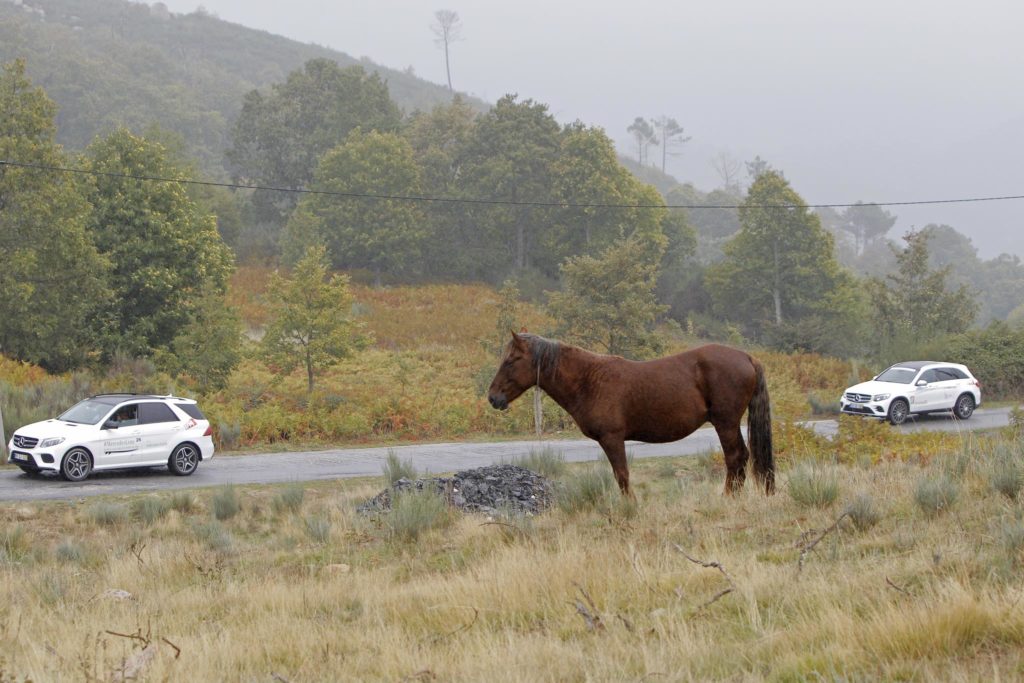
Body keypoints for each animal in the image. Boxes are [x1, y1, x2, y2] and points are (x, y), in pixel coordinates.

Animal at [489, 331, 774, 497]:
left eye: (511, 360)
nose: (493, 397)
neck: (589, 380)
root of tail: (747, 358)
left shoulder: (612, 439)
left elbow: (622, 475)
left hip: (725, 423)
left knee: (735, 458)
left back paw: (728, 498)